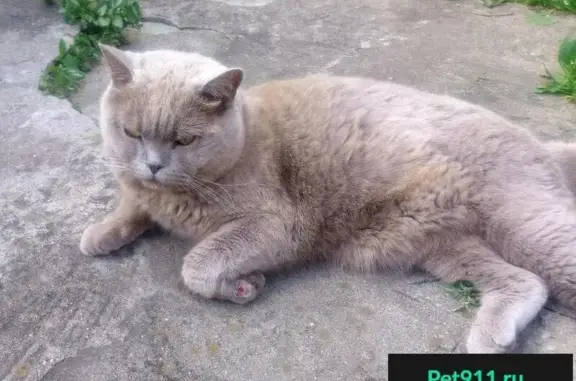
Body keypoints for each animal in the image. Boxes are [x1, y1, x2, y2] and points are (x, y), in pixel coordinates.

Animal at [82, 43, 576, 354]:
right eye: (131, 132)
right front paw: (100, 234)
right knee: (526, 282)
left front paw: (243, 285)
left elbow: (197, 266)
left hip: (524, 224)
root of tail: (536, 142)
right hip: (444, 246)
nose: (153, 165)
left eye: (183, 140)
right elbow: (132, 207)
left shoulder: (279, 225)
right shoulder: (142, 192)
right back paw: (491, 341)